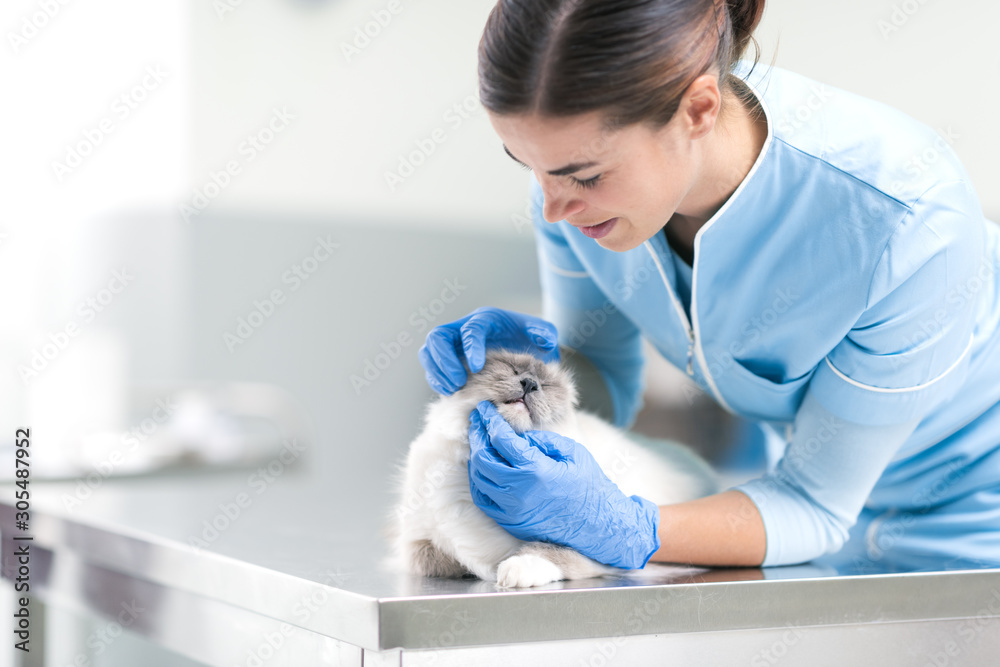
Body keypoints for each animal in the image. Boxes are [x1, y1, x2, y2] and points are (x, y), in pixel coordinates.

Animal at [382, 348, 720, 588]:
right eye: (513, 370)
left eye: (544, 385)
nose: (530, 384)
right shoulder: (414, 544)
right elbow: (441, 559)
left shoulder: (609, 551)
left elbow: (544, 552)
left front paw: (511, 571)